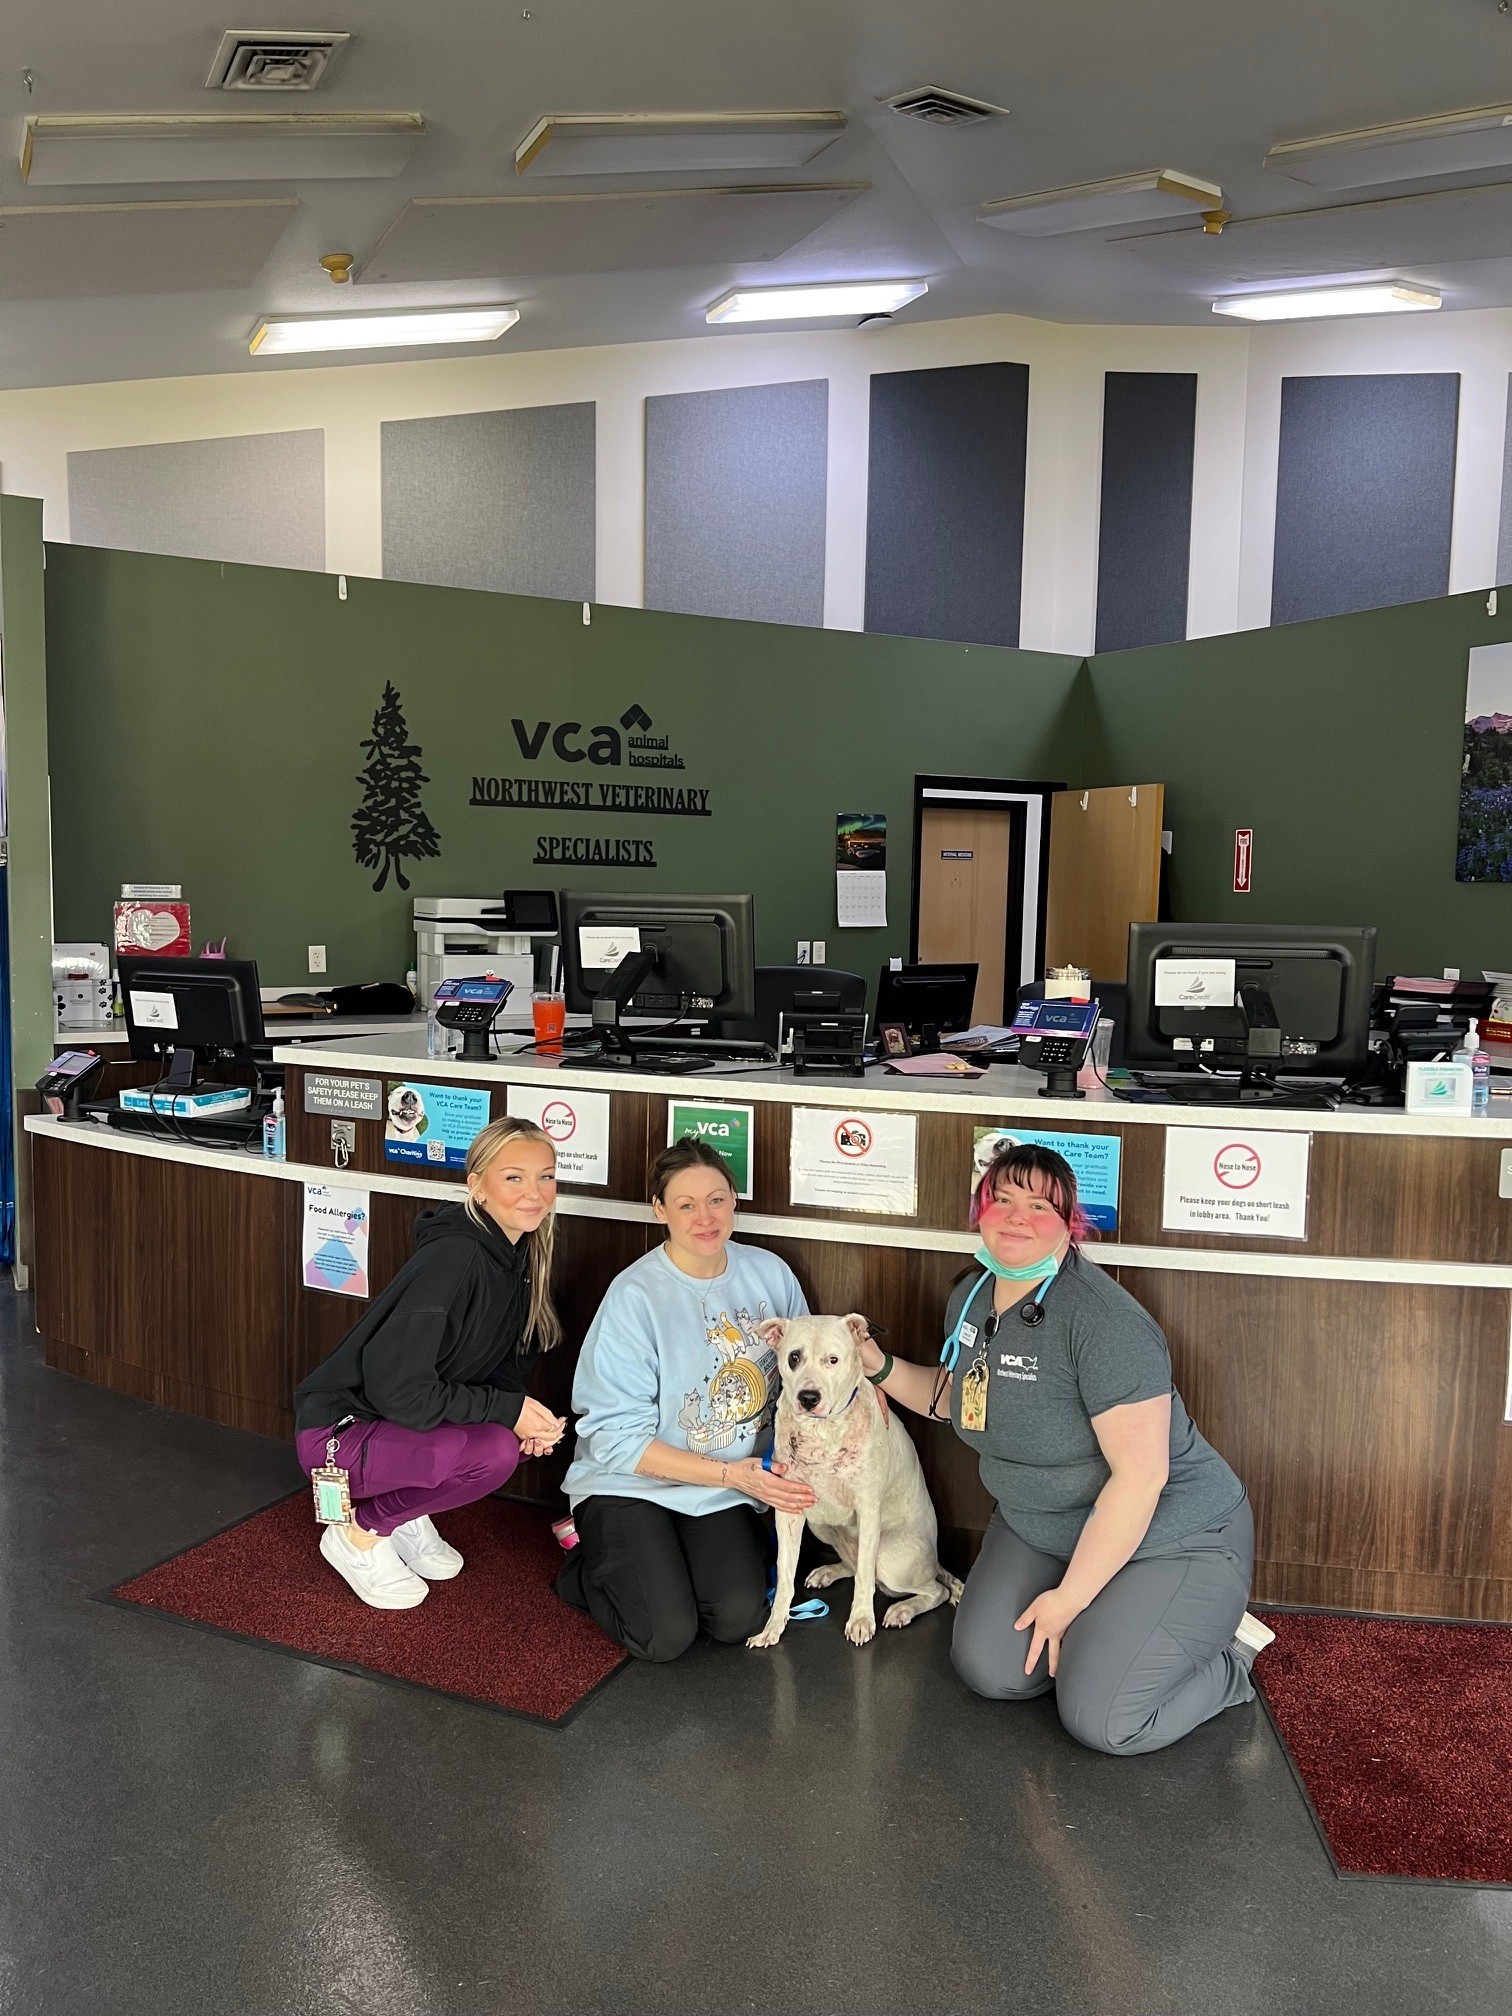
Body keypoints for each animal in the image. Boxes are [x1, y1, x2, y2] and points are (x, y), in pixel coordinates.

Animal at [746, 1313, 962, 1649]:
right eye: (794, 1357)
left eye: (833, 1360)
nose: (808, 1398)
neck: (822, 1432)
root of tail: (935, 1560)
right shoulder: (789, 1512)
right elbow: (784, 1577)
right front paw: (773, 1627)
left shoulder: (868, 1509)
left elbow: (863, 1578)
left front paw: (861, 1619)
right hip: (820, 1524)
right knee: (854, 1564)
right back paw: (829, 1571)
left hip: (889, 1557)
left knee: (933, 1588)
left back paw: (903, 1609)